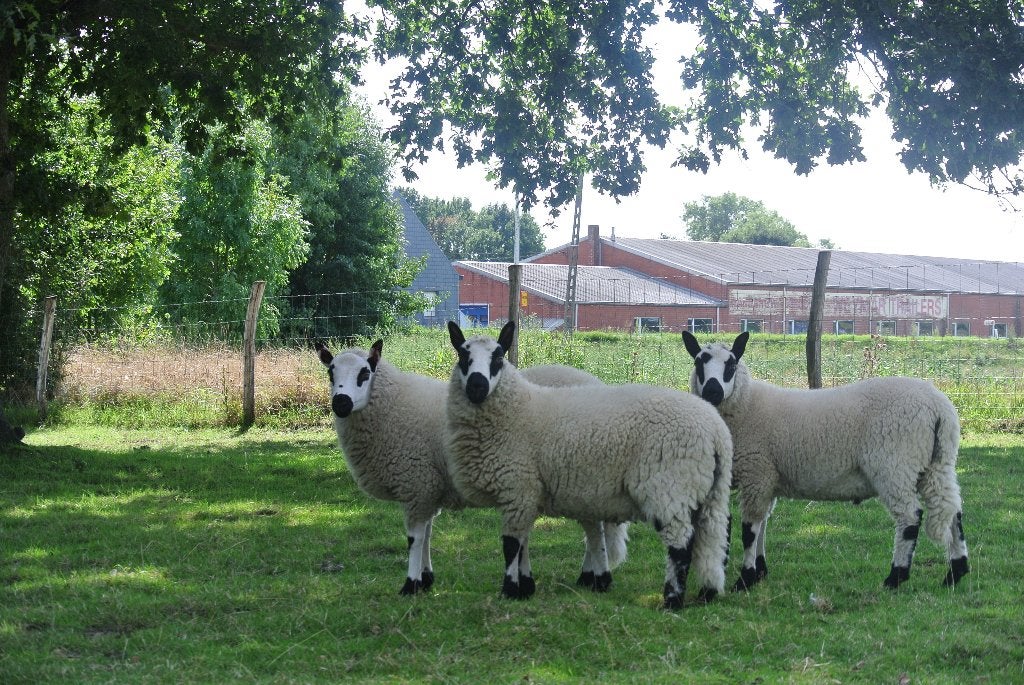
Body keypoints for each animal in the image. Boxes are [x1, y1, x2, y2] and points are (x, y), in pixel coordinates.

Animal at [315, 339, 628, 596]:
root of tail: (597, 383)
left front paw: (411, 584)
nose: (340, 402)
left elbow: (415, 538)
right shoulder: (430, 488)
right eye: (331, 373)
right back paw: (587, 576)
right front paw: (426, 579)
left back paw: (594, 577)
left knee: (594, 528)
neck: (393, 408)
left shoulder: (418, 483)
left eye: (364, 374)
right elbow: (427, 534)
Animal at [445, 321, 733, 609]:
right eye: (462, 356)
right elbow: (524, 541)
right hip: (709, 492)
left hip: (670, 486)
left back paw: (672, 600)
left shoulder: (518, 486)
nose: (477, 386)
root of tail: (716, 430)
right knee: (710, 541)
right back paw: (707, 592)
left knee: (681, 544)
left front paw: (510, 590)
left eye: (498, 358)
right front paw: (525, 586)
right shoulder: (527, 493)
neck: (517, 410)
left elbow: (511, 544)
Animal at [682, 330, 969, 592]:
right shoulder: (768, 478)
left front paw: (746, 579)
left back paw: (896, 576)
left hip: (895, 464)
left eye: (731, 364)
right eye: (698, 362)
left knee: (910, 517)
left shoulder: (757, 473)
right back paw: (956, 573)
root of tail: (939, 407)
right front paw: (761, 571)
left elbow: (749, 530)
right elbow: (763, 524)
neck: (746, 404)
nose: (712, 391)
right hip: (937, 464)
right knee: (952, 510)